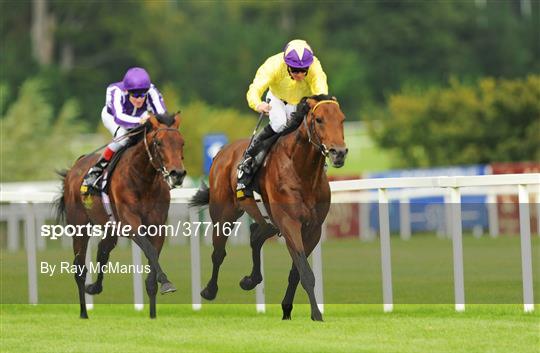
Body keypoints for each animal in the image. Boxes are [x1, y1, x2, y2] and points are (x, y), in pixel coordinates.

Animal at [54, 111, 186, 318]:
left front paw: (153, 314)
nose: (177, 174)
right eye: (158, 143)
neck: (143, 179)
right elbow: (149, 250)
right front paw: (166, 282)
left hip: (110, 227)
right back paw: (84, 313)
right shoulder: (130, 222)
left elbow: (152, 263)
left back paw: (95, 287)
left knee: (103, 249)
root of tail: (76, 165)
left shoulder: (158, 226)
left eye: (182, 143)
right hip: (79, 226)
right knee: (79, 268)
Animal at [190, 95, 346, 320]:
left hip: (268, 220)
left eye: (342, 119)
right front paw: (317, 314)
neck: (302, 172)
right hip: (224, 214)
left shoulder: (313, 229)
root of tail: (221, 152)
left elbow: (297, 271)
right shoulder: (290, 223)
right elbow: (305, 272)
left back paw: (251, 279)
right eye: (319, 119)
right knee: (218, 252)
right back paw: (209, 290)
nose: (339, 153)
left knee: (257, 233)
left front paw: (287, 309)